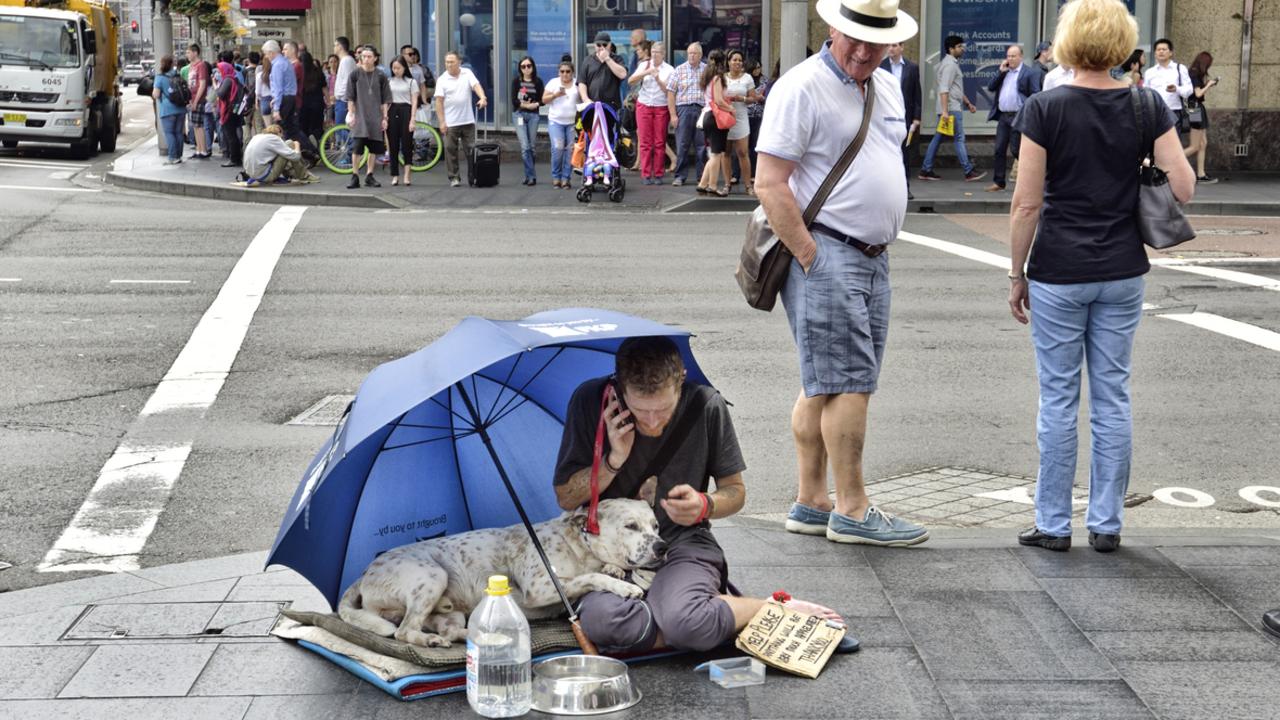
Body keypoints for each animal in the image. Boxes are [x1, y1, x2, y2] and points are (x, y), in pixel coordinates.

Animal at [335, 499, 665, 645]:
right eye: (630, 526)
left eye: (656, 525)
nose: (662, 547)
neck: (578, 546)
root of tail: (363, 574)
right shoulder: (541, 587)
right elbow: (591, 578)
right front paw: (625, 586)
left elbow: (602, 570)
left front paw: (615, 569)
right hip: (431, 577)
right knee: (403, 631)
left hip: (449, 611)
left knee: (449, 630)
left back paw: (480, 636)